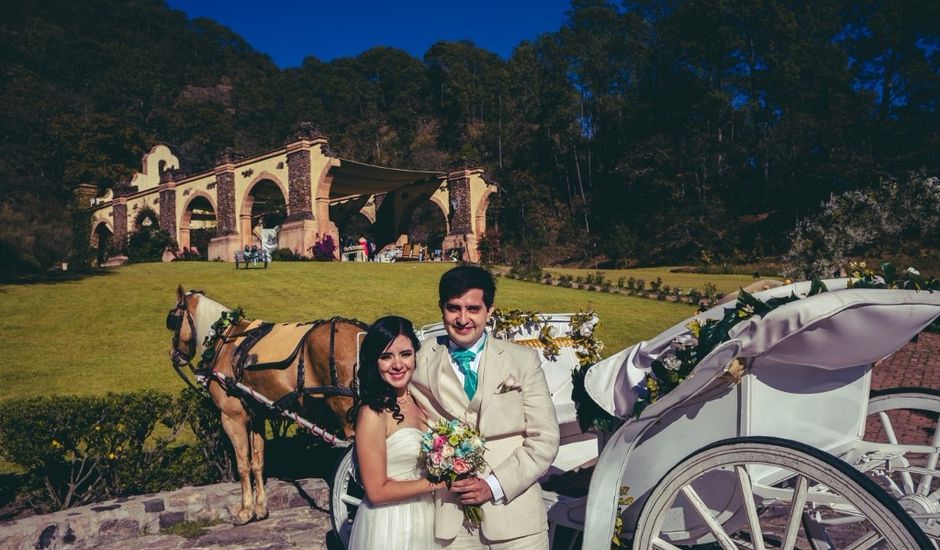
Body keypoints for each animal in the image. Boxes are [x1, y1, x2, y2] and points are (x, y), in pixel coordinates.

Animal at [167, 286, 366, 528]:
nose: (174, 354)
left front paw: (245, 511)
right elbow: (258, 462)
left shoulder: (232, 417)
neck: (225, 339)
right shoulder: (257, 416)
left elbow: (243, 463)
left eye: (173, 319)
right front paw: (260, 508)